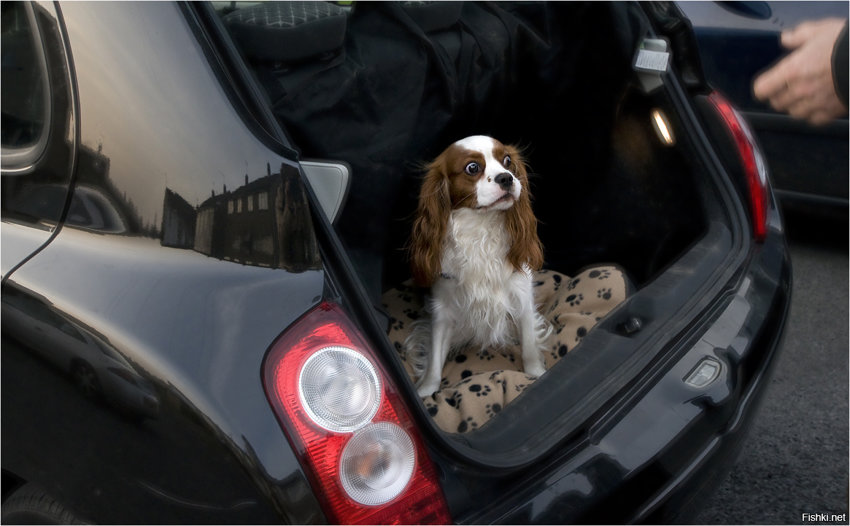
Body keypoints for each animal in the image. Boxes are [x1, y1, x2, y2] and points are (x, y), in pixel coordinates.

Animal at [406, 135, 548, 396]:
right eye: (472, 168)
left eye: (507, 161)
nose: (506, 177)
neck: (481, 227)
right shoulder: (443, 308)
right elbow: (434, 360)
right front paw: (426, 393)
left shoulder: (521, 295)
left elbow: (529, 343)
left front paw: (537, 373)